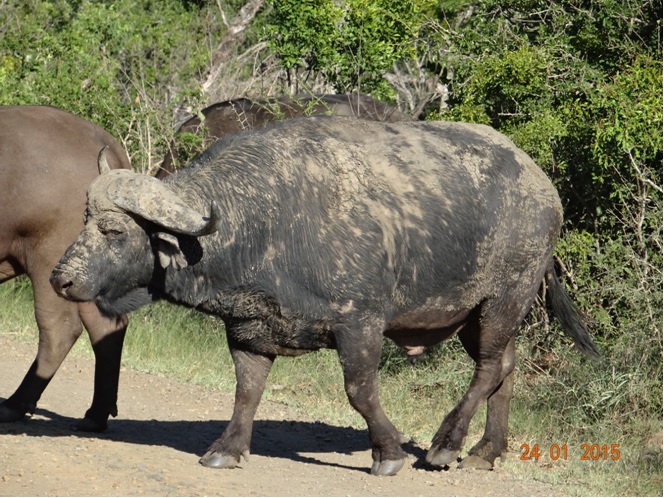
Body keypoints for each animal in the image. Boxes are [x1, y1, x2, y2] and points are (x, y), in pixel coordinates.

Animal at [53, 115, 600, 474]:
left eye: (114, 231)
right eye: (84, 221)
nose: (61, 279)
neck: (266, 219)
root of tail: (544, 190)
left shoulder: (360, 324)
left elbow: (360, 391)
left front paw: (388, 454)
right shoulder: (248, 329)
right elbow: (246, 392)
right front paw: (227, 448)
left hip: (505, 298)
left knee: (488, 368)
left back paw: (446, 444)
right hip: (471, 315)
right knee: (505, 367)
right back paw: (487, 451)